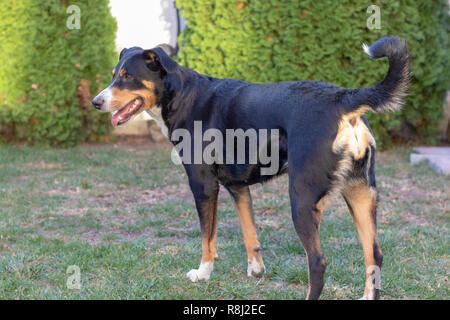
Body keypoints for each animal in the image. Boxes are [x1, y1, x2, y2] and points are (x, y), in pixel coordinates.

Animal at [92, 36, 412, 298]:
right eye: (114, 76)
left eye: (127, 77)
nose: (96, 102)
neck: (183, 96)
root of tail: (343, 98)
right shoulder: (238, 187)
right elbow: (249, 232)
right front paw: (256, 270)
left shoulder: (203, 185)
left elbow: (208, 238)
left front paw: (203, 273)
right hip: (360, 193)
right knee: (374, 255)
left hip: (302, 199)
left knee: (317, 263)